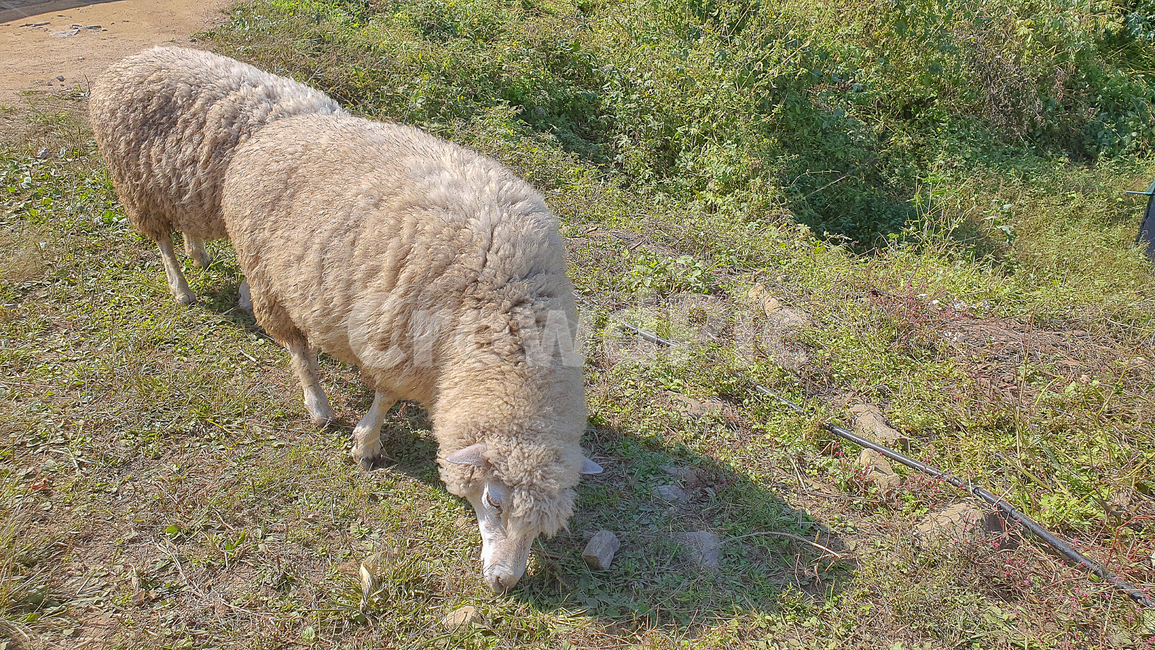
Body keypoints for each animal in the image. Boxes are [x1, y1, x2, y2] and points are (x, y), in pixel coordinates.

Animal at [88, 46, 345, 305]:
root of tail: (123, 65)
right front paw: (247, 297)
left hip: (178, 179)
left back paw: (198, 254)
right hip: (138, 187)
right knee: (163, 242)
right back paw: (181, 289)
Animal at [220, 112, 602, 592]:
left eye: (544, 528)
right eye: (494, 502)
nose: (504, 582)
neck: (507, 307)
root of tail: (284, 125)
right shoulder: (399, 342)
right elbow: (385, 397)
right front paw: (366, 444)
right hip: (267, 274)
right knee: (297, 347)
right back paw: (318, 404)